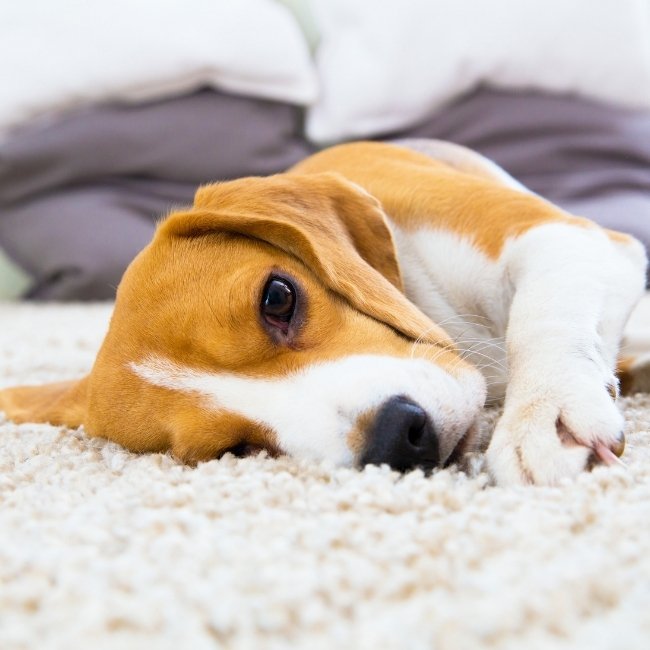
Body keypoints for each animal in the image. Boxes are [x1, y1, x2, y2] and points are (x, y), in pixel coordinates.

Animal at [2, 143, 644, 486]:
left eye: (278, 298)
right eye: (232, 450)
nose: (398, 436)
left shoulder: (566, 237)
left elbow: (544, 316)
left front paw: (545, 412)